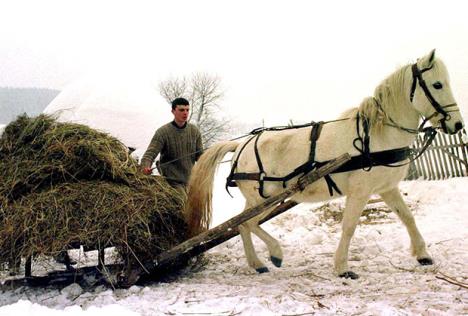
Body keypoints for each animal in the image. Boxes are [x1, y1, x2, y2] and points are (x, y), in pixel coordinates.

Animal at [186, 50, 464, 278]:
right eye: (437, 84)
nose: (458, 124)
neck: (377, 135)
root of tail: (240, 145)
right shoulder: (360, 192)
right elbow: (349, 226)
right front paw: (342, 267)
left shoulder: (387, 188)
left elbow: (407, 217)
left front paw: (423, 254)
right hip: (265, 198)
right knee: (247, 223)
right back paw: (275, 253)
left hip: (259, 199)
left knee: (241, 225)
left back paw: (257, 263)